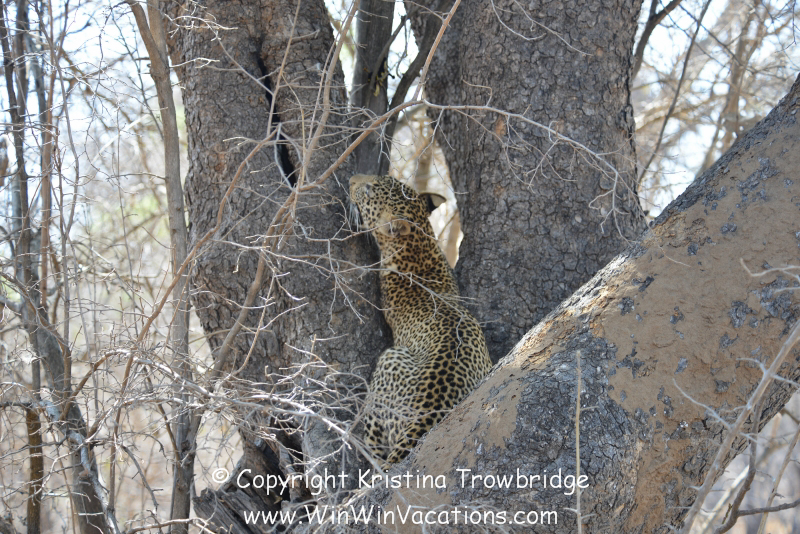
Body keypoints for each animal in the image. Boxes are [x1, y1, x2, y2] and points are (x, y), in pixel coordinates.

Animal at [349, 174, 492, 466]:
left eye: (368, 189)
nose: (350, 179)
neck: (418, 246)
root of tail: (426, 413)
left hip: (389, 358)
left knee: (376, 452)